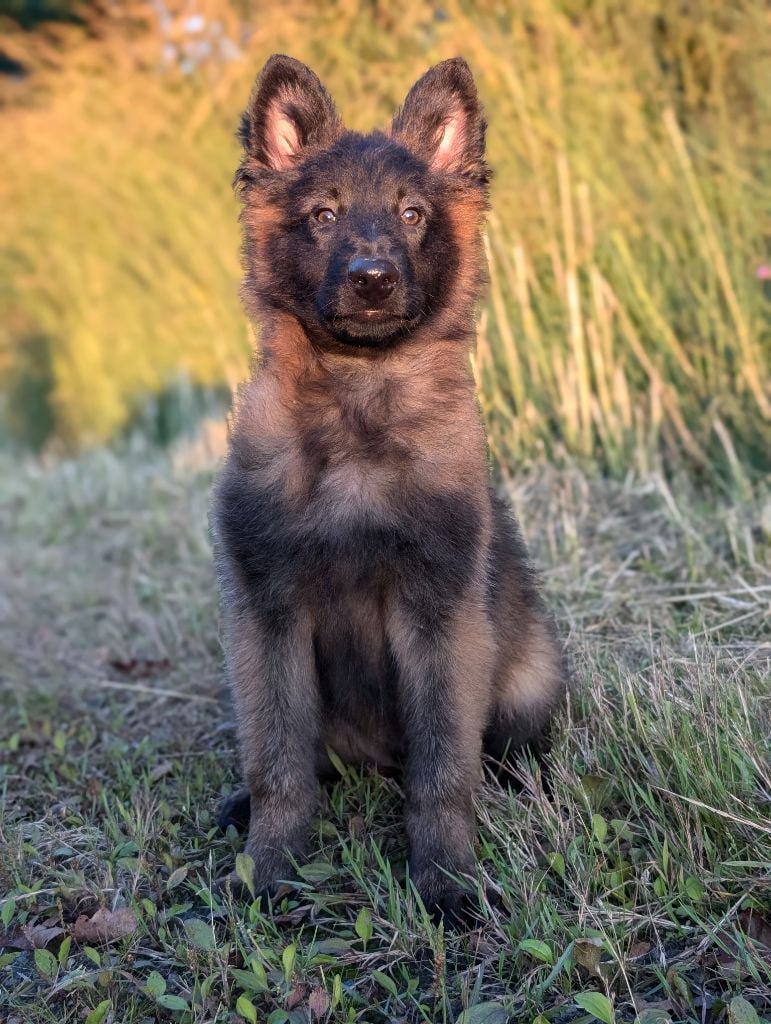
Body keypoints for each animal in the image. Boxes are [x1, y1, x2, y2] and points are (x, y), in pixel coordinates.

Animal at [211, 54, 565, 921]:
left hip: (528, 672)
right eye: (323, 216)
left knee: (507, 746)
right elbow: (277, 764)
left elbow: (442, 770)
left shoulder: (438, 615)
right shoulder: (267, 616)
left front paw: (446, 880)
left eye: (411, 214)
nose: (371, 280)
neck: (356, 406)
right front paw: (266, 868)